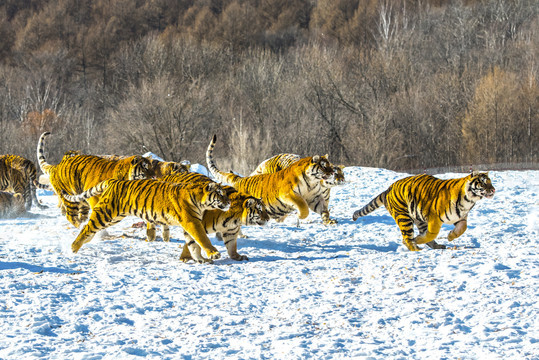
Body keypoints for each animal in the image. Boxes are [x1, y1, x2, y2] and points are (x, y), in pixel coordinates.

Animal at [62, 177, 230, 262]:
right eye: (221, 194)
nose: (228, 202)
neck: (201, 202)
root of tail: (114, 181)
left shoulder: (190, 224)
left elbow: (193, 244)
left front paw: (201, 259)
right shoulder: (192, 222)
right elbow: (202, 238)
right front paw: (214, 254)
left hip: (113, 218)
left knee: (90, 229)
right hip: (105, 213)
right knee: (87, 227)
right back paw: (73, 248)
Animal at [206, 135, 336, 222]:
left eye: (330, 164)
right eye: (323, 165)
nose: (332, 172)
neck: (312, 182)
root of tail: (239, 179)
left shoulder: (315, 197)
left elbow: (323, 209)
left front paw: (328, 220)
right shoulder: (288, 194)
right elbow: (303, 207)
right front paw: (300, 216)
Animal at [352, 172, 496, 250]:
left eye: (490, 181)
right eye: (483, 182)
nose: (493, 189)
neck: (469, 200)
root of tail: (388, 190)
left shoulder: (460, 217)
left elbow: (462, 228)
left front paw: (450, 236)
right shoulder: (434, 218)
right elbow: (432, 233)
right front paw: (418, 240)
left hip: (418, 218)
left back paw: (437, 246)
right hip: (404, 217)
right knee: (407, 237)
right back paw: (416, 248)